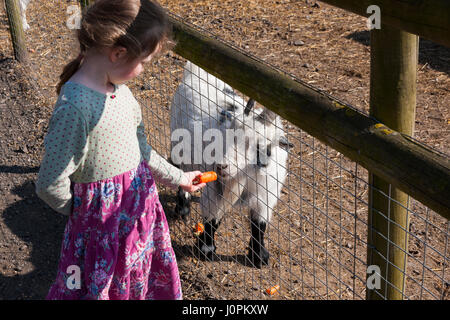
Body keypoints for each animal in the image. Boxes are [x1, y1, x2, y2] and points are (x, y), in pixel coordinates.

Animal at [170, 62, 292, 268]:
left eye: (260, 145)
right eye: (228, 133)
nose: (221, 166)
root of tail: (194, 71)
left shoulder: (265, 195)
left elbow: (259, 225)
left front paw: (259, 257)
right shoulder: (216, 188)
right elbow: (212, 218)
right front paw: (206, 249)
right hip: (178, 146)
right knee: (179, 170)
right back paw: (183, 208)